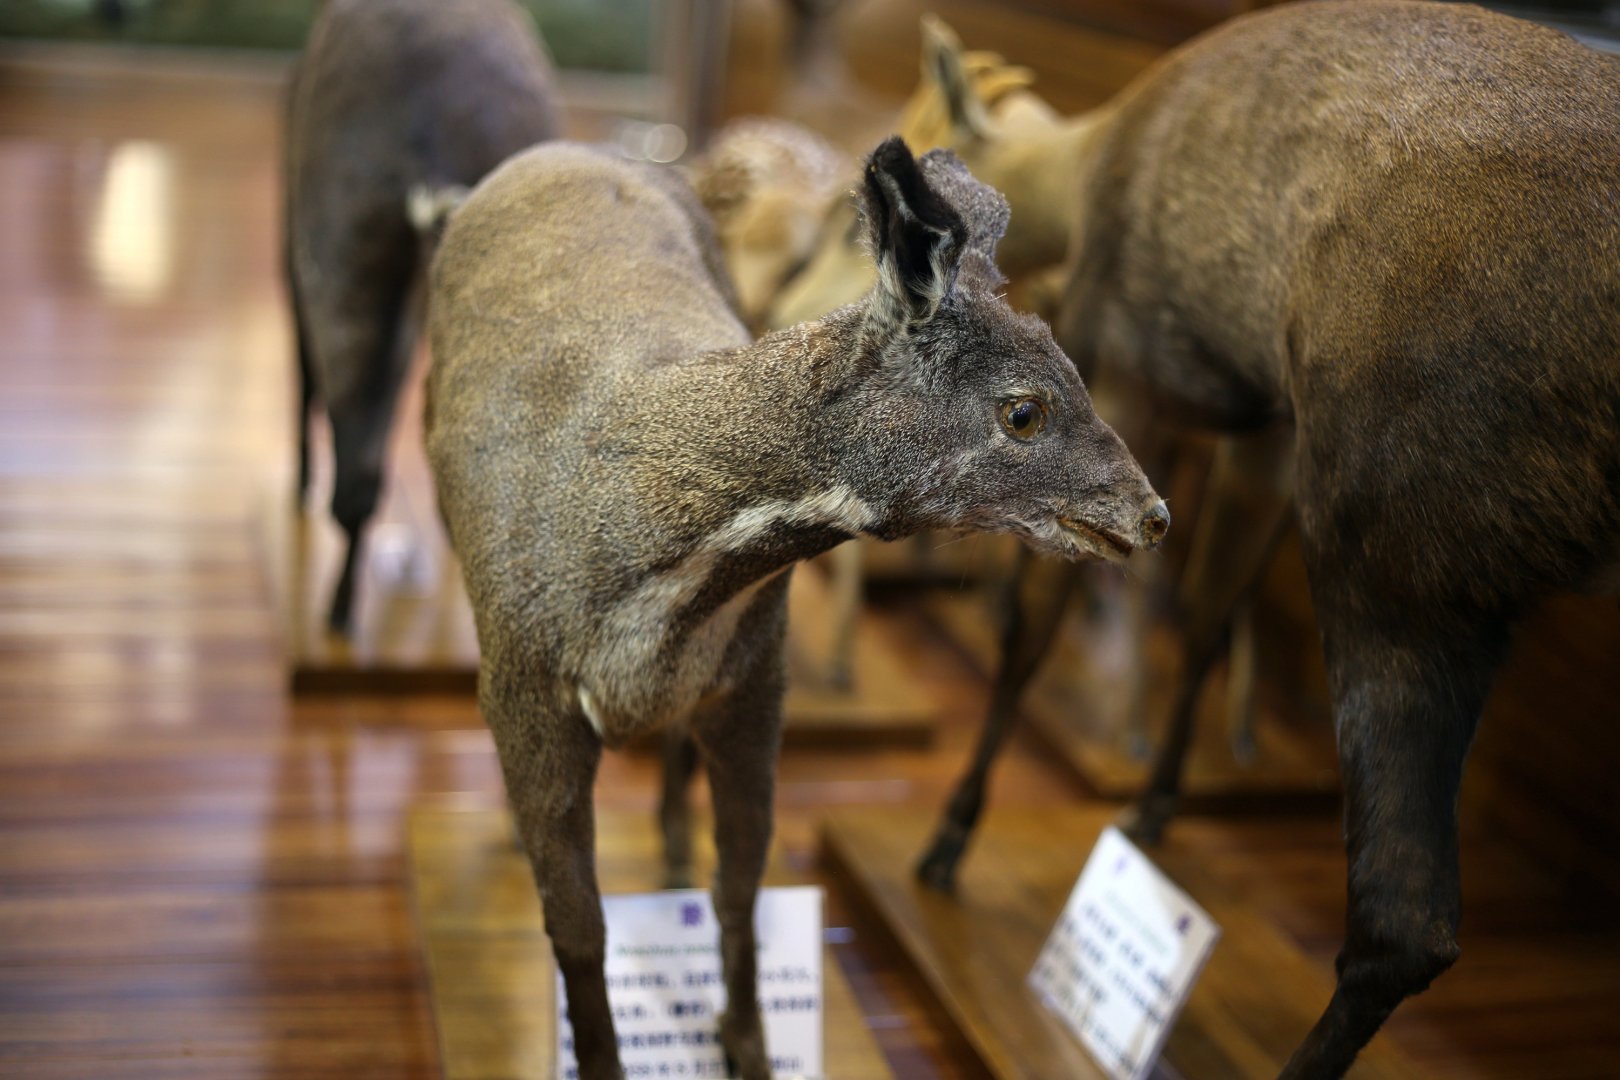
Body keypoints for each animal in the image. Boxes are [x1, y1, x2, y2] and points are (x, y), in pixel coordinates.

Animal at [423, 138, 1169, 1080]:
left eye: (1079, 373)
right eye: (1024, 411)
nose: (1152, 514)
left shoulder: (755, 678)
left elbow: (741, 881)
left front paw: (747, 1046)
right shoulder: (525, 694)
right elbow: (577, 928)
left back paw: (671, 838)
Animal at [932, 2, 1620, 1076]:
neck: (1091, 166)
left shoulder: (1116, 356)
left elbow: (1037, 624)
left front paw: (951, 839)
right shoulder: (1265, 428)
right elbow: (1209, 611)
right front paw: (1154, 805)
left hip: (1397, 556)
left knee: (1405, 921)